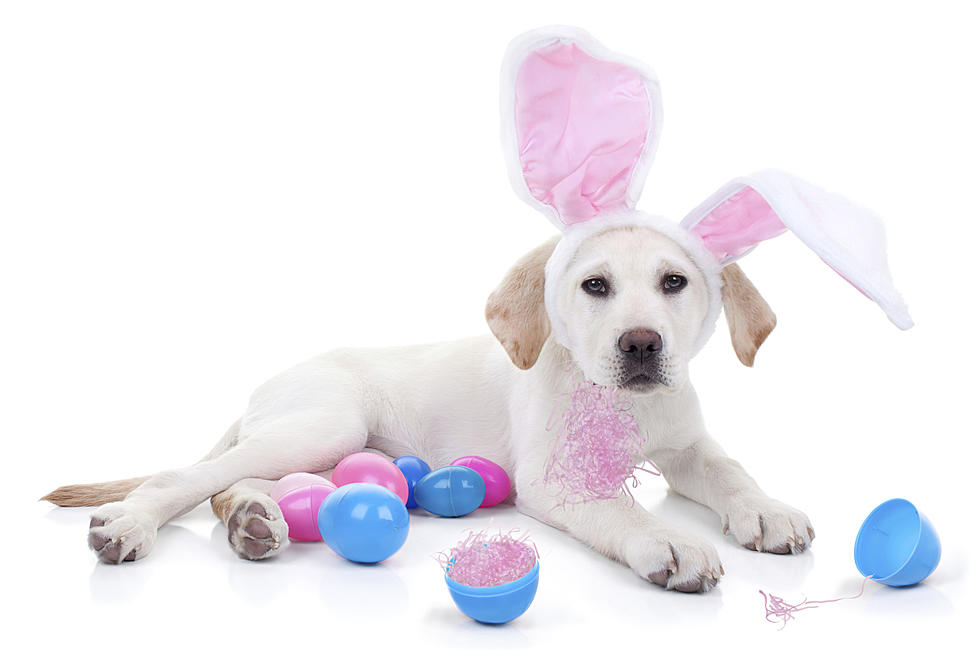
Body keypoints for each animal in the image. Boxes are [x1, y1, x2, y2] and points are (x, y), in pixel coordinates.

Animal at [44, 225, 812, 596]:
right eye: (594, 286)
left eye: (674, 282)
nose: (643, 344)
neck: (619, 405)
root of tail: (267, 386)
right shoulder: (552, 478)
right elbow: (621, 509)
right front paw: (669, 540)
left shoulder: (686, 444)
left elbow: (730, 468)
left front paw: (767, 509)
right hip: (327, 423)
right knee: (186, 477)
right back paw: (132, 523)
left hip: (316, 445)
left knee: (231, 485)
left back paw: (254, 524)